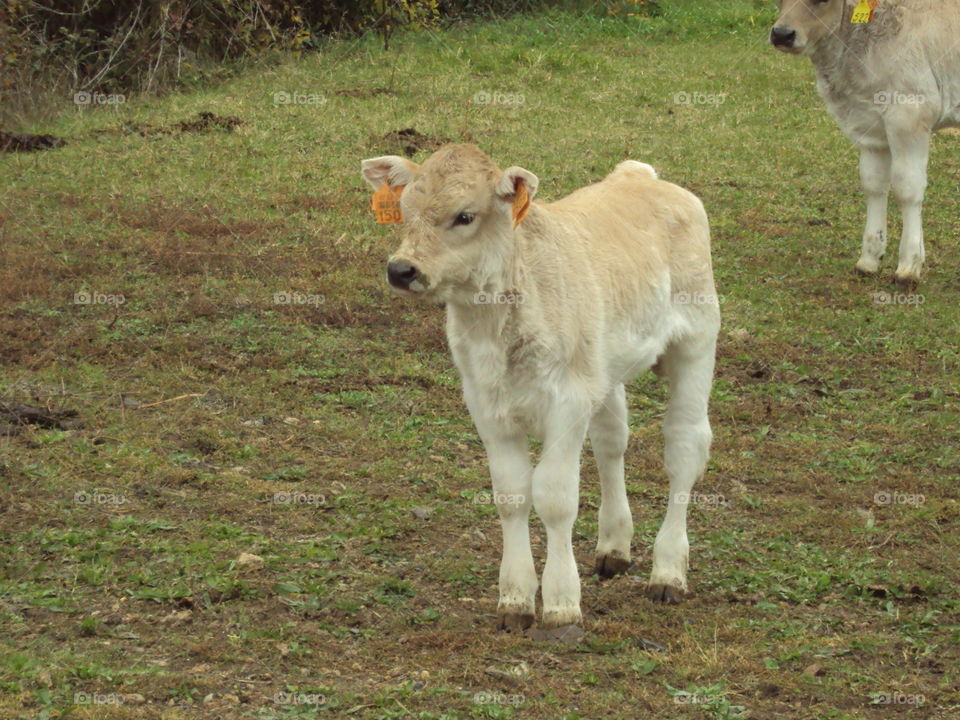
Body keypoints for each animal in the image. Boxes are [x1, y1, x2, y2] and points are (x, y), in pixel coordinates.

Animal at [361, 145, 720, 631]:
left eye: (465, 216)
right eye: (405, 211)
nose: (401, 269)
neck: (497, 328)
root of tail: (640, 175)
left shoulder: (567, 402)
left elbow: (554, 496)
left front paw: (561, 602)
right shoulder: (485, 403)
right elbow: (511, 494)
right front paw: (514, 597)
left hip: (696, 340)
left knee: (684, 447)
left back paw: (667, 572)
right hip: (603, 368)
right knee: (611, 442)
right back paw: (614, 547)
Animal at [770, 0, 960, 285]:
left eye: (822, 1)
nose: (781, 34)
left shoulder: (910, 114)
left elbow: (907, 188)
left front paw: (909, 266)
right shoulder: (869, 125)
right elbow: (873, 184)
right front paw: (869, 259)